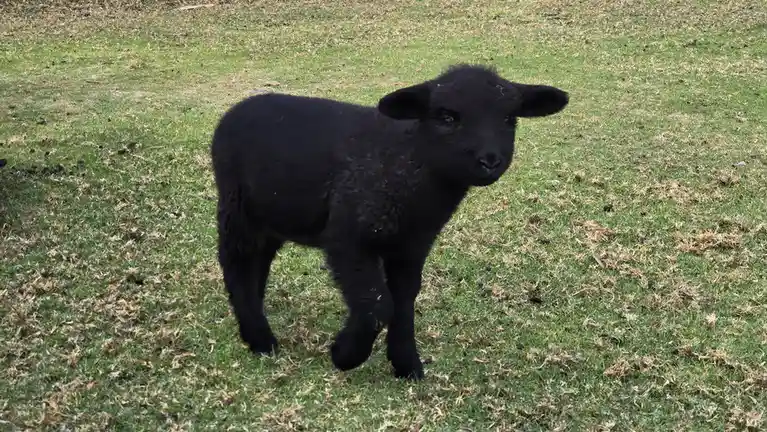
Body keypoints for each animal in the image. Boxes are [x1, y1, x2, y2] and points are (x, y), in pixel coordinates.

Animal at [210, 64, 569, 380]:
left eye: (509, 119)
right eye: (447, 117)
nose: (490, 161)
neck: (406, 162)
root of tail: (234, 111)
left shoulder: (411, 246)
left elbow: (405, 298)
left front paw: (407, 364)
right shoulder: (347, 236)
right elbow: (378, 304)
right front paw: (345, 355)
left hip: (270, 217)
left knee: (257, 262)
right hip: (236, 206)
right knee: (235, 262)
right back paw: (259, 338)